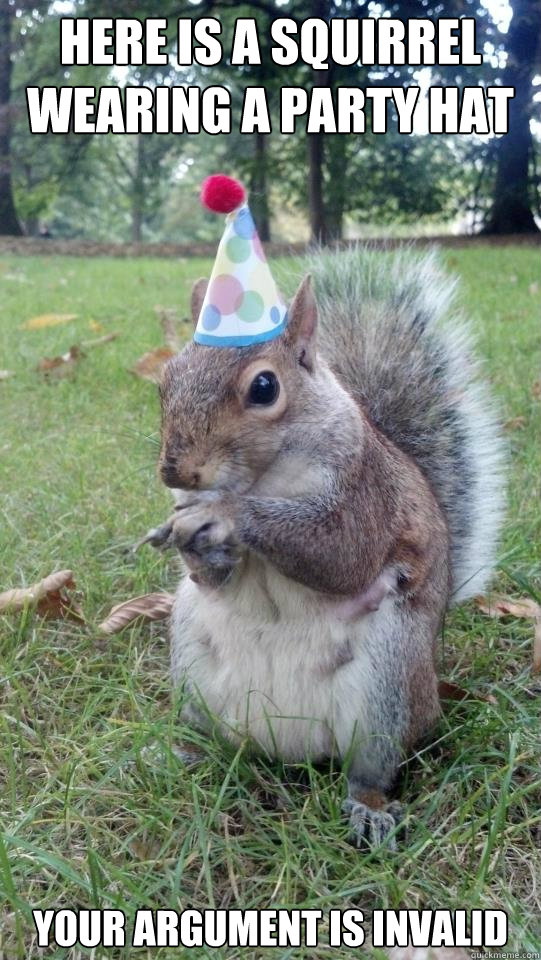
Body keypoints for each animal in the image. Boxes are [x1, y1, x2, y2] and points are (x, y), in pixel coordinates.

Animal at [151, 246, 502, 848]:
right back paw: (179, 754)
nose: (176, 470)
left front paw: (223, 516)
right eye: (165, 380)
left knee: (371, 769)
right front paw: (187, 537)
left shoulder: (365, 495)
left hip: (388, 682)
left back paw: (369, 809)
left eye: (264, 388)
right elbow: (211, 575)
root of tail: (285, 745)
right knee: (215, 743)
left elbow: (340, 554)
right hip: (193, 665)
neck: (262, 477)